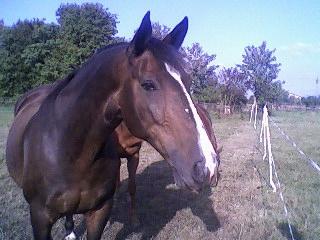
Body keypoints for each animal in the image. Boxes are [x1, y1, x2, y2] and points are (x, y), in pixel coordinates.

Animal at [6, 12, 220, 239]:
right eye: (148, 84)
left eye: (188, 82)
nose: (208, 167)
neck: (69, 151)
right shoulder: (40, 218)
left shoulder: (99, 211)